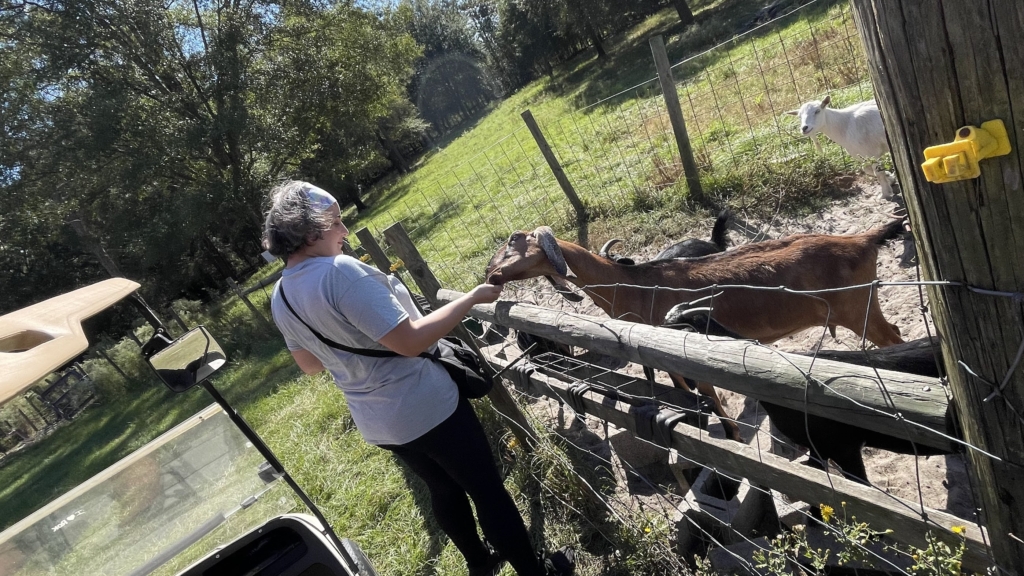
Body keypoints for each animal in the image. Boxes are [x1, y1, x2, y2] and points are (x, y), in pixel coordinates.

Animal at [481, 219, 905, 438]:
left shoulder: (693, 354)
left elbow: (713, 402)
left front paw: (732, 439)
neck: (633, 285)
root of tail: (863, 239)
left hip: (858, 309)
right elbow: (682, 390)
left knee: (892, 340)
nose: (489, 273)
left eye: (513, 240)